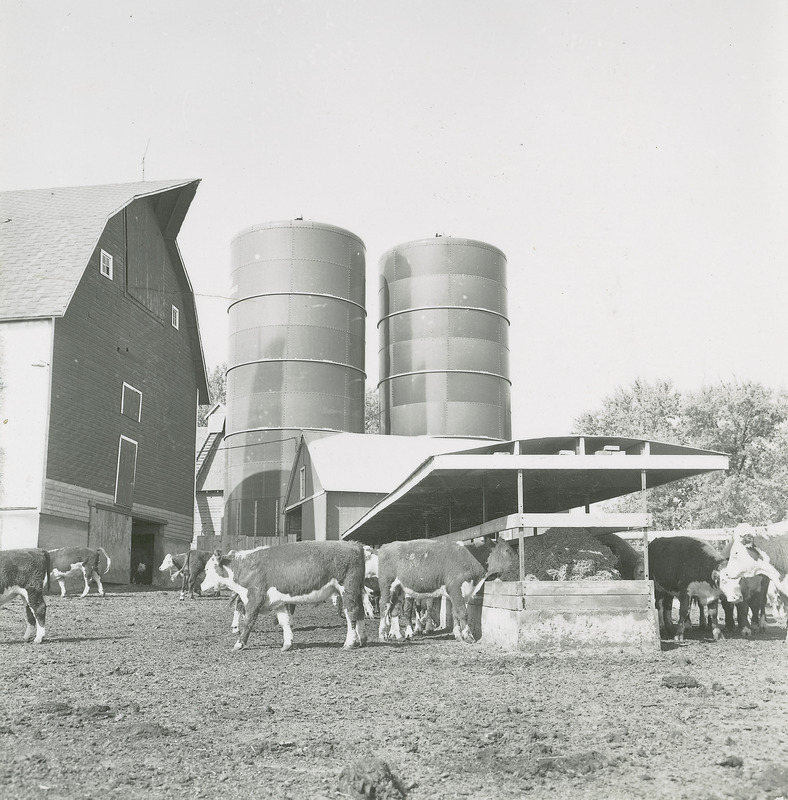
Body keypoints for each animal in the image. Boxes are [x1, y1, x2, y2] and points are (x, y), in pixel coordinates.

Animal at [200, 540, 366, 652]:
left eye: (207, 569)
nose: (201, 586)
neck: (246, 567)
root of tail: (355, 545)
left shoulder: (255, 598)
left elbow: (248, 622)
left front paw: (238, 644)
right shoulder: (279, 602)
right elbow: (285, 622)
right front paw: (287, 644)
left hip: (348, 589)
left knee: (351, 613)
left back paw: (349, 643)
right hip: (356, 591)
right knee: (360, 612)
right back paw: (361, 640)